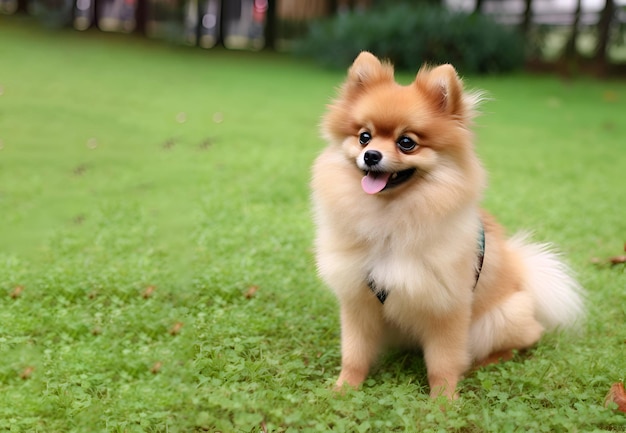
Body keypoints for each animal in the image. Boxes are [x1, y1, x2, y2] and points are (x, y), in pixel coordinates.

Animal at [310, 51, 584, 398]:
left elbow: (443, 361)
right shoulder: (358, 301)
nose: (371, 155)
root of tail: (522, 275)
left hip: (500, 318)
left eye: (407, 143)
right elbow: (355, 353)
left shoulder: (447, 306)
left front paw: (444, 402)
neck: (389, 220)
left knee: (526, 339)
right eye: (364, 137)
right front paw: (344, 389)